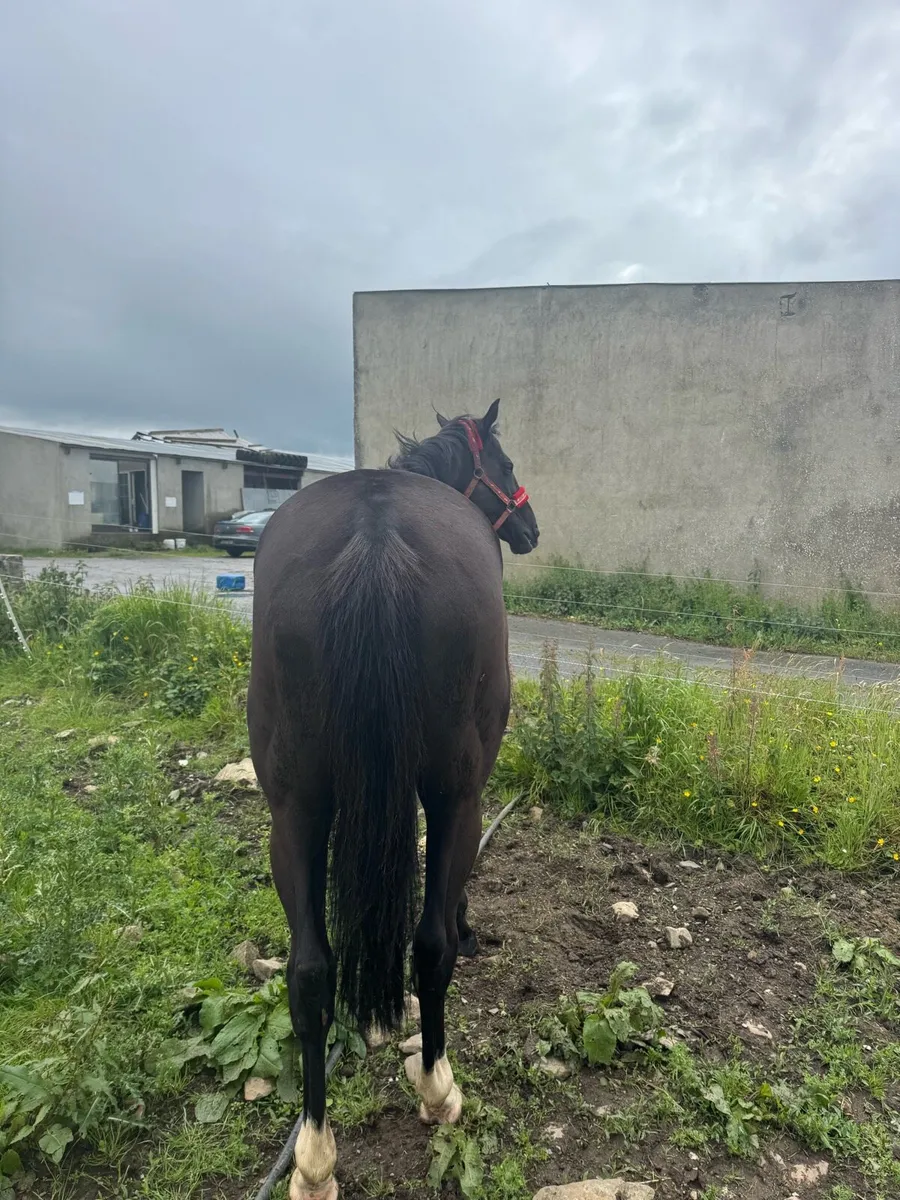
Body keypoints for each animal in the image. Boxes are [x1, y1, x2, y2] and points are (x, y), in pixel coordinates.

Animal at [247, 398, 539, 1200]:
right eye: (504, 462)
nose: (531, 528)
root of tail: (373, 536)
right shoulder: (461, 794)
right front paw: (466, 929)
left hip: (295, 811)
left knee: (309, 973)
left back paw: (314, 1156)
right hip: (454, 793)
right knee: (429, 944)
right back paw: (437, 1086)